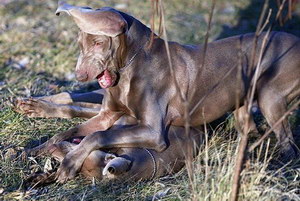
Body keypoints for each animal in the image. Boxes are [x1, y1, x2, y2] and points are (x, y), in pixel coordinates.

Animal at [17, 1, 298, 183]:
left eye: (98, 42)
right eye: (80, 44)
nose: (80, 76)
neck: (130, 65)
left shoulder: (153, 132)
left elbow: (96, 136)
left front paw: (69, 163)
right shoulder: (108, 115)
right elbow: (72, 132)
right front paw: (35, 150)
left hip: (270, 96)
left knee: (288, 143)